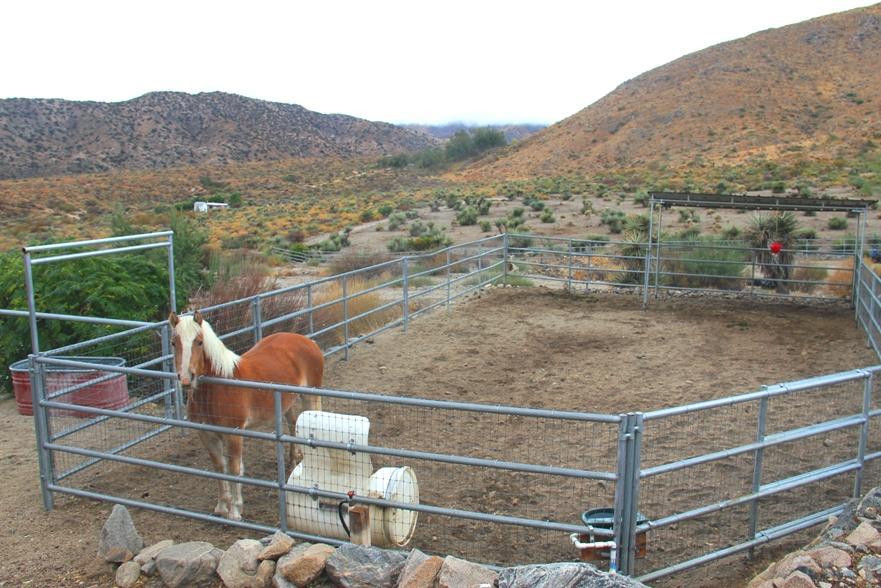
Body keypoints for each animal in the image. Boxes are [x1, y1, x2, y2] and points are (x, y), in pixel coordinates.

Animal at [167, 310, 322, 520]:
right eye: (174, 343)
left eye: (199, 342)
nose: (185, 379)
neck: (218, 388)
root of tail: (308, 341)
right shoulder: (206, 435)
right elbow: (219, 468)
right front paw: (221, 507)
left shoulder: (234, 435)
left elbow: (234, 470)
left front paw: (235, 511)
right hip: (287, 401)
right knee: (292, 422)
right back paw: (293, 459)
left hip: (310, 396)